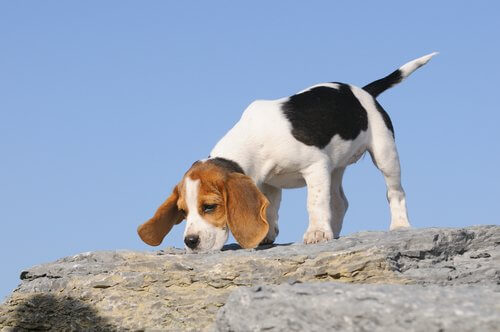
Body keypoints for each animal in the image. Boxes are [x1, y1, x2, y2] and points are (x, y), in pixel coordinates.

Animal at [137, 53, 438, 253]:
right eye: (183, 212)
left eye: (209, 207)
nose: (190, 242)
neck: (253, 137)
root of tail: (362, 92)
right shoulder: (269, 183)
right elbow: (270, 209)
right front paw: (267, 233)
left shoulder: (315, 167)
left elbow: (314, 203)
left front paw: (316, 232)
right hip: (335, 168)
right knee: (340, 202)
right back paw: (334, 230)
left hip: (385, 153)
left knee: (395, 192)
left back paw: (399, 225)